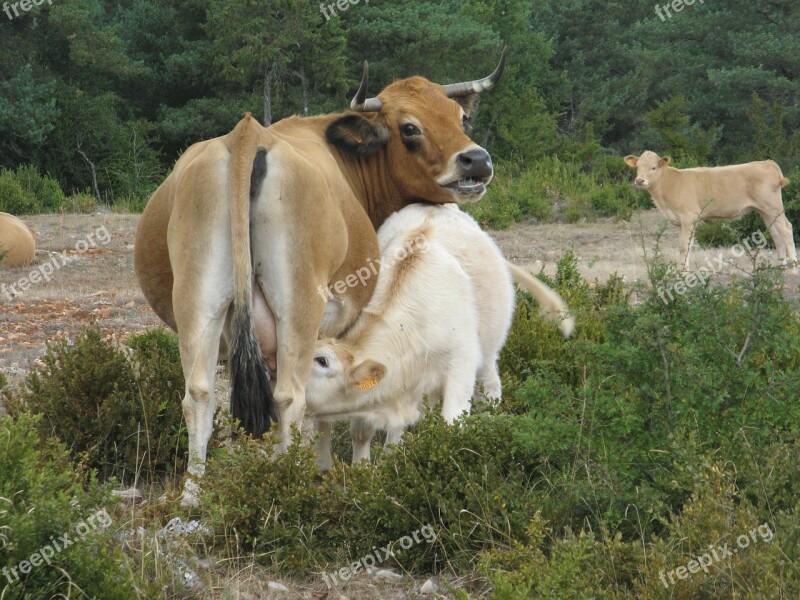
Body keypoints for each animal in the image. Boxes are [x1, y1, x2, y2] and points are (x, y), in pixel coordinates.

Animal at [132, 51, 506, 504]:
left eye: (459, 117)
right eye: (409, 127)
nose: (477, 161)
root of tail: (247, 135)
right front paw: (332, 465)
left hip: (197, 304)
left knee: (199, 396)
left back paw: (193, 493)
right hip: (298, 306)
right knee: (289, 397)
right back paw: (286, 482)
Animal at [306, 203, 576, 468]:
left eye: (322, 361)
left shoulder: (461, 367)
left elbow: (451, 427)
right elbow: (364, 433)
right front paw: (366, 470)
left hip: (489, 350)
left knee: (489, 389)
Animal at [628, 151, 796, 270]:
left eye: (653, 167)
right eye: (637, 168)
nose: (639, 180)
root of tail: (767, 162)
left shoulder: (689, 217)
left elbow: (684, 246)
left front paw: (683, 273)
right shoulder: (680, 221)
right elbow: (684, 245)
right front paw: (681, 271)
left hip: (773, 207)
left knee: (786, 229)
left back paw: (793, 267)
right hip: (765, 211)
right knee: (776, 234)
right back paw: (781, 267)